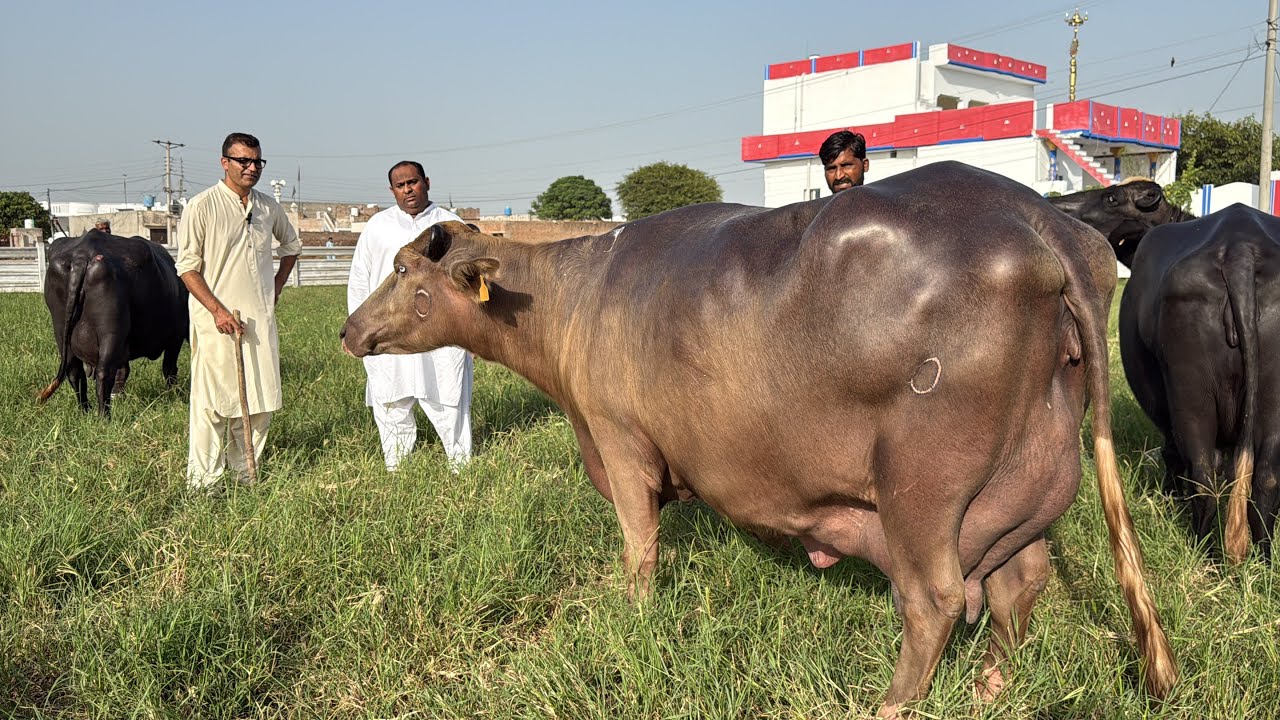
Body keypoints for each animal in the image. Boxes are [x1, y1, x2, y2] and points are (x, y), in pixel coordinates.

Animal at [38, 229, 189, 417]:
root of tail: (82, 256)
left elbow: (123, 371)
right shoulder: (176, 336)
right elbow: (169, 368)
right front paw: (175, 394)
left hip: (60, 331)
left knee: (75, 372)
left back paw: (85, 411)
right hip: (110, 332)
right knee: (104, 373)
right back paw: (104, 417)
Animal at [341, 161, 1176, 716]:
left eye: (406, 271)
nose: (350, 330)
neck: (575, 295)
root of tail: (1035, 220)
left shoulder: (621, 441)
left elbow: (639, 549)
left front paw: (634, 618)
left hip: (922, 485)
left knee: (934, 599)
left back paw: (890, 704)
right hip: (1026, 482)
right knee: (1017, 581)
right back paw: (990, 687)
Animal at [1119, 202, 1280, 563]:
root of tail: (1239, 245)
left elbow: (1172, 455)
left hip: (1191, 398)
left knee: (1204, 475)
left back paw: (1204, 555)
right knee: (1265, 479)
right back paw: (1263, 559)